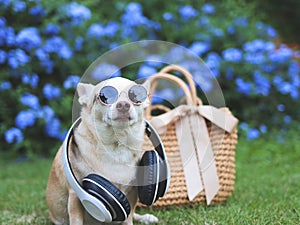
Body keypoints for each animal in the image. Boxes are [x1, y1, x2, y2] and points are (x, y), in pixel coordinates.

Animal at [45, 76, 158, 224]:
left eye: (135, 96)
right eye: (106, 97)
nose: (123, 104)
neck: (116, 145)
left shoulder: (132, 194)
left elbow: (128, 217)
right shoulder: (75, 196)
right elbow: (76, 220)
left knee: (133, 214)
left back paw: (146, 217)